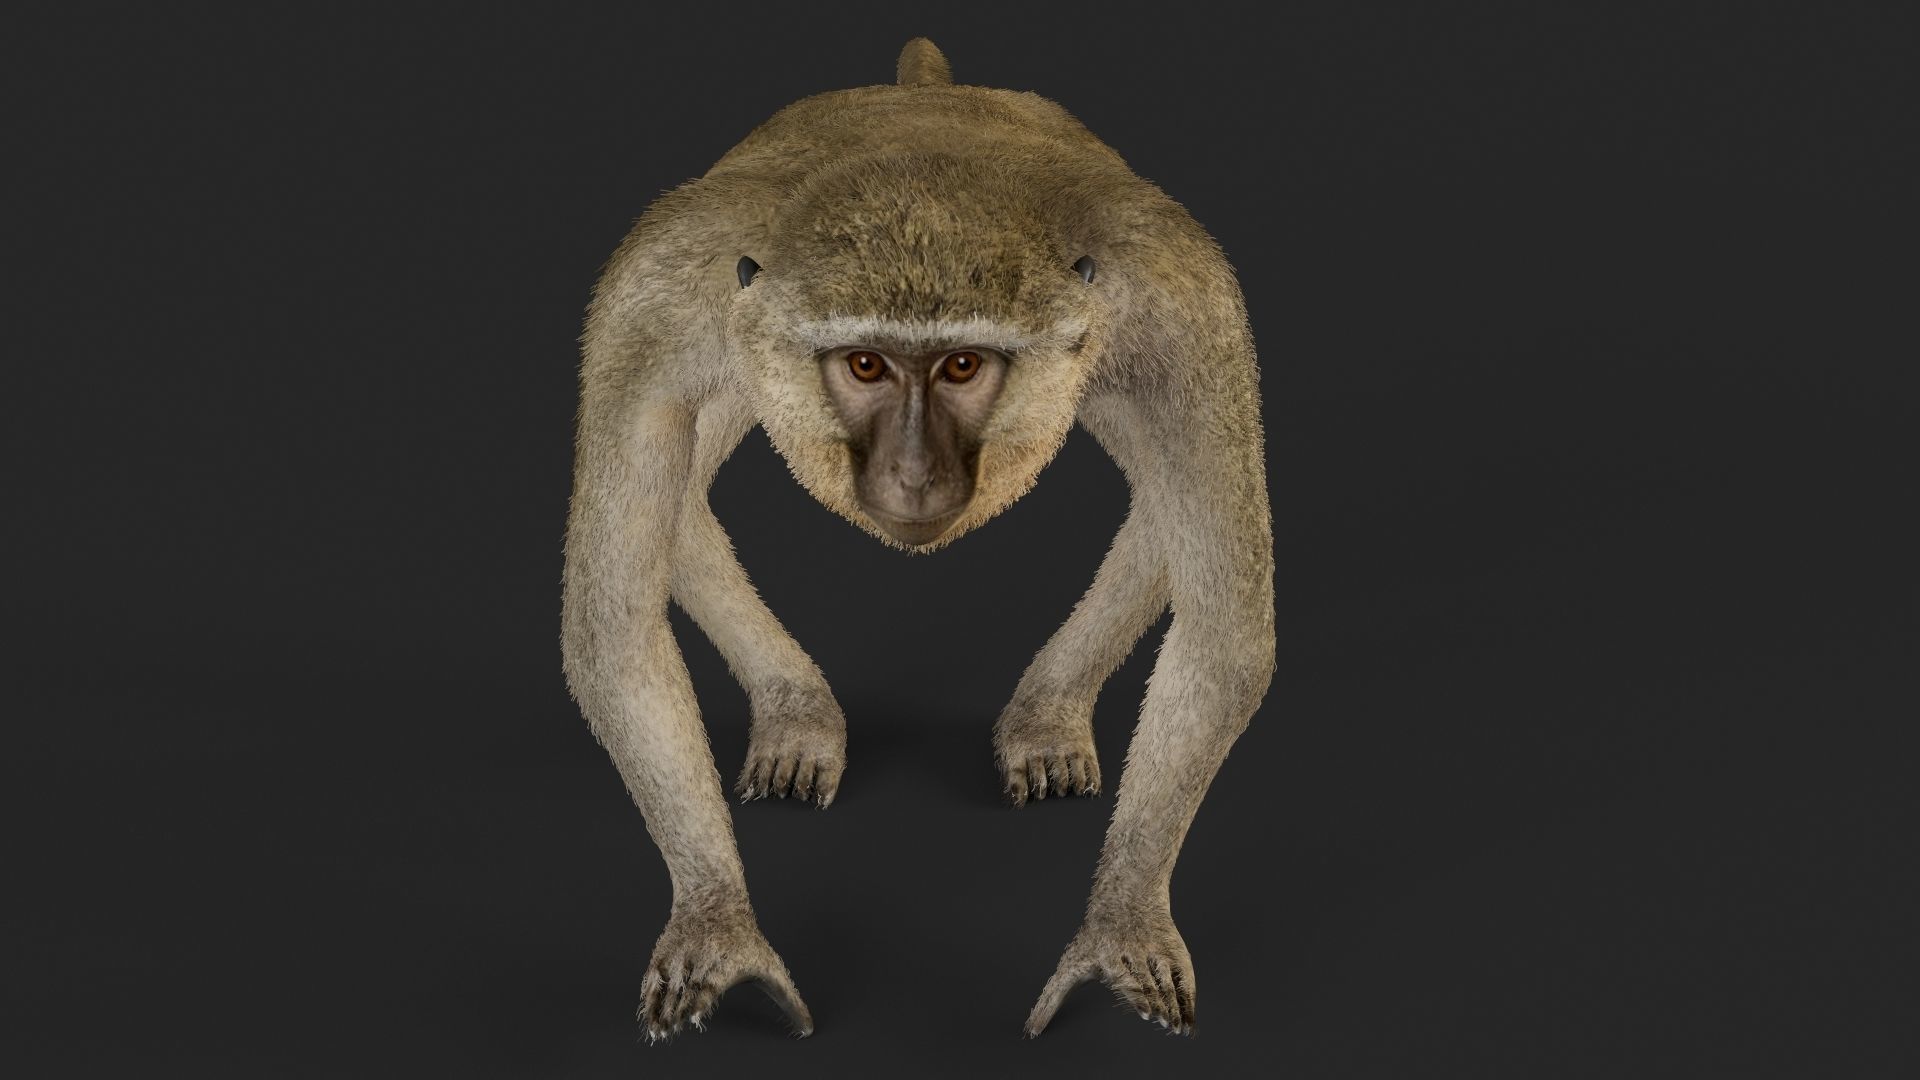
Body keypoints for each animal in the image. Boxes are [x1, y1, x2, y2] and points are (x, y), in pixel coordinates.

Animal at [560, 37, 1275, 1041]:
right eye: (866, 365)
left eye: (962, 366)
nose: (912, 472)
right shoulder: (656, 302)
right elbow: (618, 629)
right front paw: (715, 915)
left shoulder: (1180, 305)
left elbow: (1221, 635)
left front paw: (1125, 916)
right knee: (682, 491)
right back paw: (797, 709)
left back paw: (1046, 711)